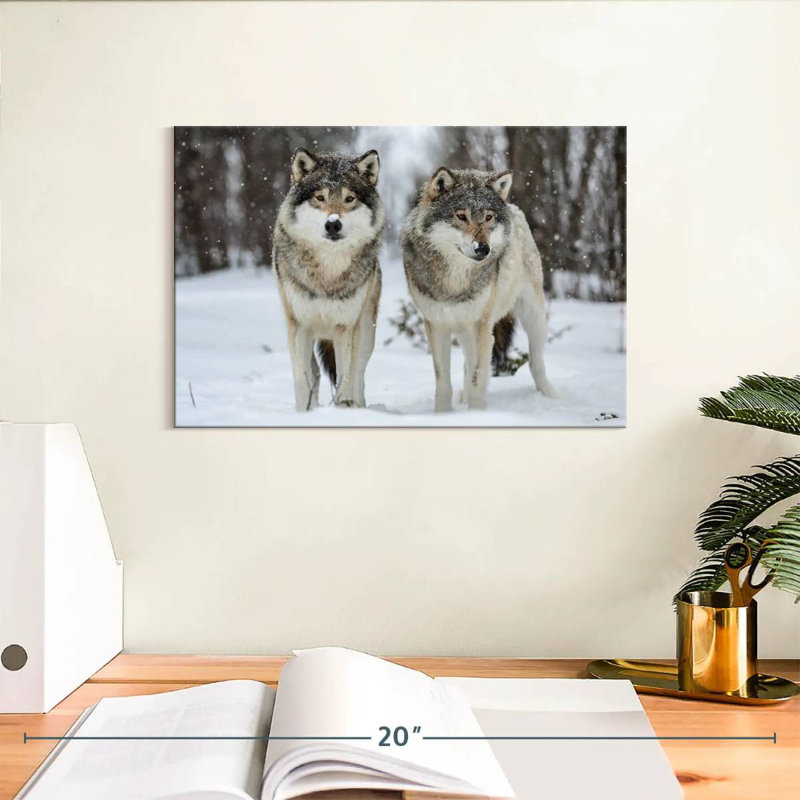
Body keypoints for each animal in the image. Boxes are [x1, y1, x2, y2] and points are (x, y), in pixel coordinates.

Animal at [273, 148, 384, 411]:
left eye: (349, 198)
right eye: (320, 197)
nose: (333, 224)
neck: (328, 272)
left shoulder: (346, 326)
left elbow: (347, 378)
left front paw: (344, 408)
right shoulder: (299, 325)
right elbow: (302, 379)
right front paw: (304, 413)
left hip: (365, 332)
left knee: (359, 375)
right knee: (314, 374)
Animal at [401, 167, 555, 412]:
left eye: (489, 217)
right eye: (461, 216)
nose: (483, 248)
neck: (455, 280)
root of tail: (514, 208)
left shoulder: (481, 327)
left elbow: (477, 379)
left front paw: (475, 414)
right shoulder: (436, 326)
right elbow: (443, 382)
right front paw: (443, 414)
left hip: (533, 317)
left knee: (536, 362)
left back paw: (551, 397)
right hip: (465, 331)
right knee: (467, 364)